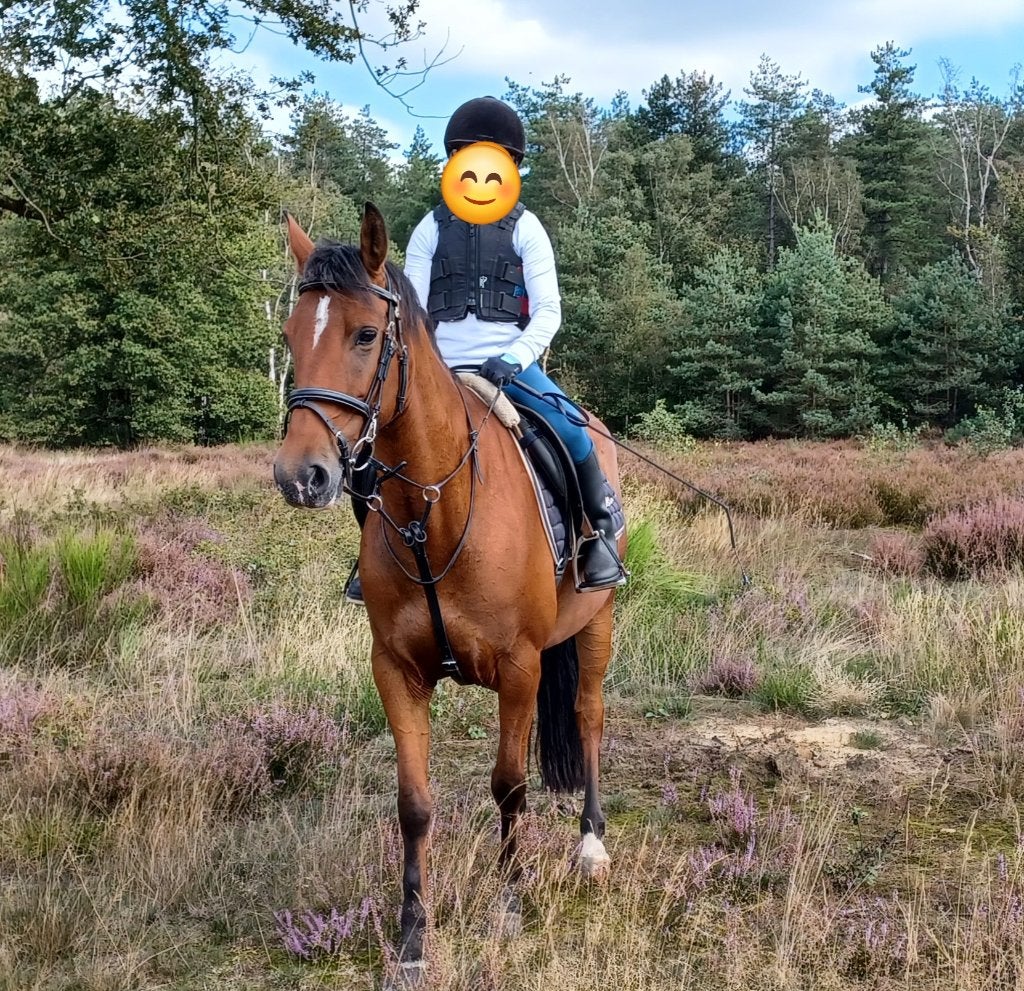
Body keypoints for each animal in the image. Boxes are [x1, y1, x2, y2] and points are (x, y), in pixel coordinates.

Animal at [273, 203, 626, 984]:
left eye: (366, 335)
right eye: (288, 336)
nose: (300, 476)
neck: (432, 510)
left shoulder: (520, 667)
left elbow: (509, 784)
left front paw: (512, 902)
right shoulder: (395, 669)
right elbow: (414, 803)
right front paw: (411, 939)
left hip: (598, 621)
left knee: (588, 715)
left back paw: (591, 844)